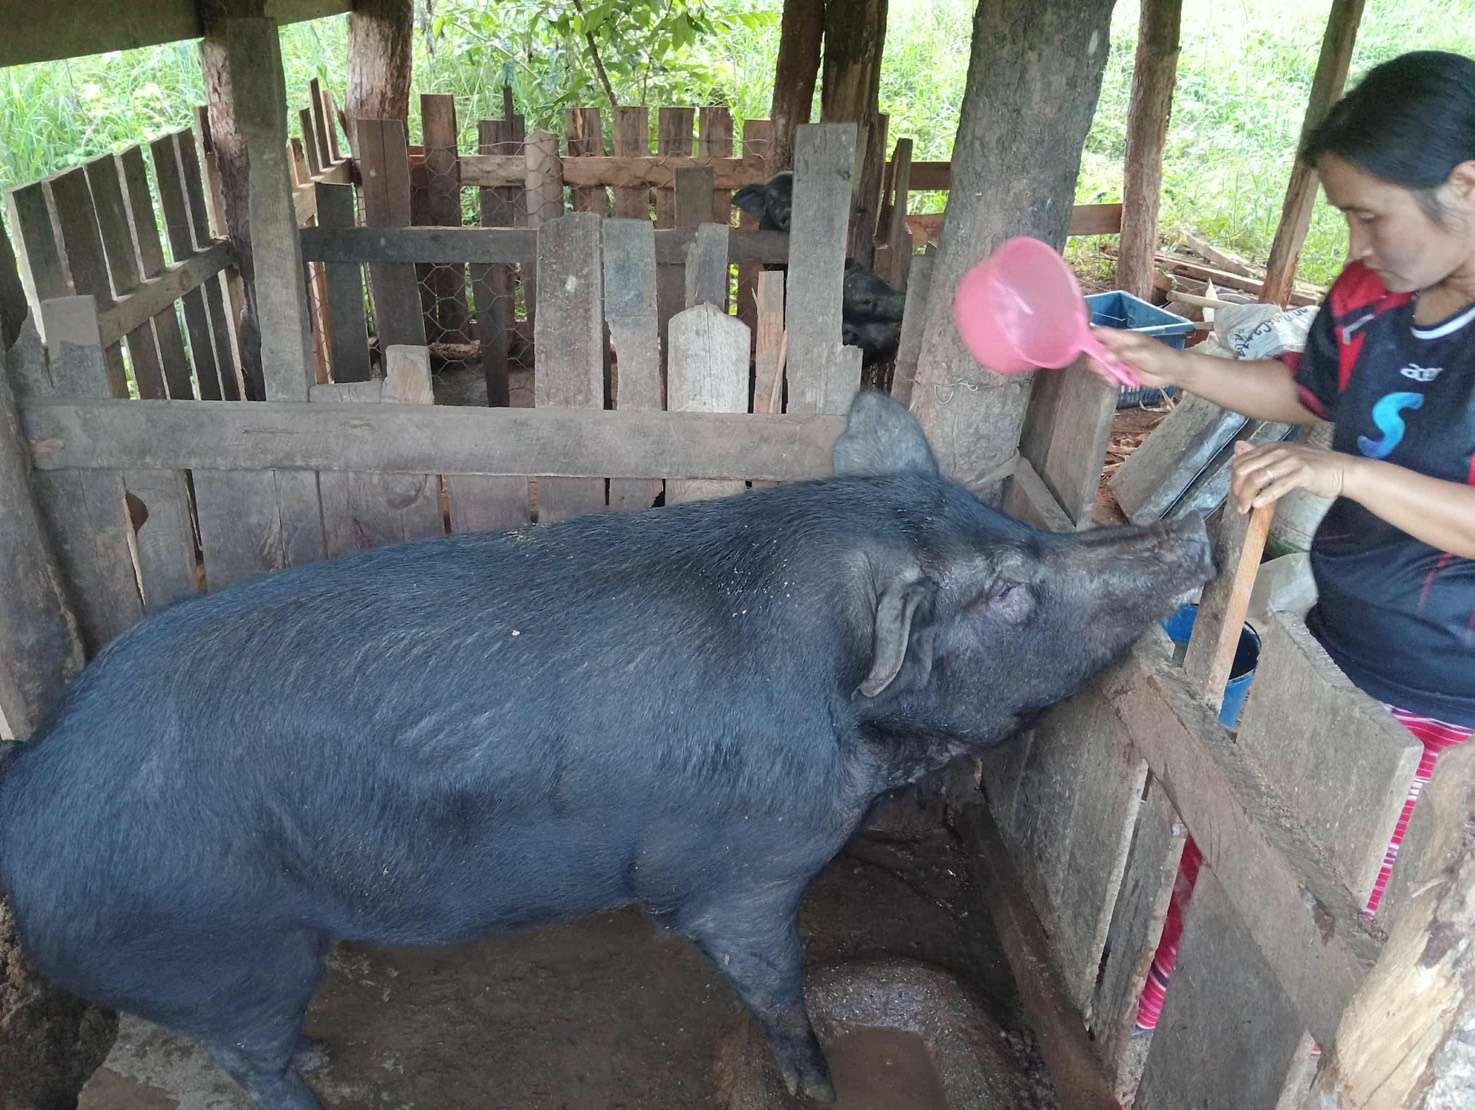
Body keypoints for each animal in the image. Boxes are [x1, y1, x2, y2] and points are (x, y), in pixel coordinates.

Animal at [0, 391, 1214, 1109]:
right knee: (244, 1057)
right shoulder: (746, 868)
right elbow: (775, 991)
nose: (1193, 534)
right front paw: (817, 1087)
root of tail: (33, 775)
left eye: (1018, 529)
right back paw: (312, 1079)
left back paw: (319, 1058)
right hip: (222, 951)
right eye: (1006, 591)